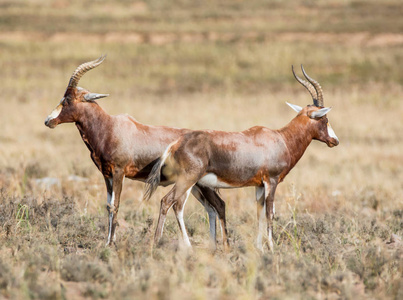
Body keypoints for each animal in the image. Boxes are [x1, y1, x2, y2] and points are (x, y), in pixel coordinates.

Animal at [44, 55, 229, 247]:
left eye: (67, 99)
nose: (48, 121)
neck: (110, 126)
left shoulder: (119, 172)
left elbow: (115, 204)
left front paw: (110, 243)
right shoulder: (107, 175)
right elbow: (108, 205)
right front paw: (109, 241)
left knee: (216, 205)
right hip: (196, 184)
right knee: (214, 206)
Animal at [144, 65, 340, 251]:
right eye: (325, 119)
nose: (335, 141)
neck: (280, 138)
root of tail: (175, 144)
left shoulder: (259, 185)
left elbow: (259, 213)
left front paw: (260, 248)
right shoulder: (272, 181)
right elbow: (270, 213)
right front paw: (271, 247)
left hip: (194, 184)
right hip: (188, 180)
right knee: (169, 202)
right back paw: (160, 243)